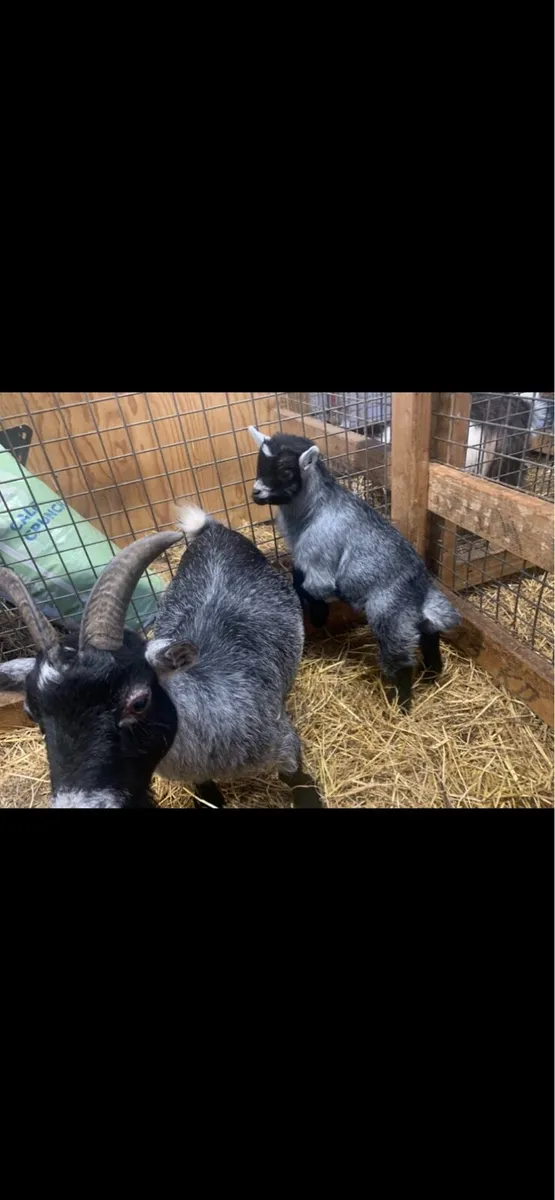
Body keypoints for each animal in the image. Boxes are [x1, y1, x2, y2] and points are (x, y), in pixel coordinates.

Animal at [0, 513, 322, 808]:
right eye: (31, 713)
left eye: (138, 702)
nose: (80, 804)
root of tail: (213, 532)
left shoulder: (282, 743)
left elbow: (298, 780)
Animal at [249, 427, 459, 712]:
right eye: (259, 463)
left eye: (285, 471)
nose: (256, 493)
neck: (312, 510)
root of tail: (421, 588)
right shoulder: (303, 556)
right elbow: (297, 574)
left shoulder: (320, 556)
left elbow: (310, 587)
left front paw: (318, 614)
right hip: (415, 612)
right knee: (429, 632)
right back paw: (432, 675)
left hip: (388, 612)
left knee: (401, 657)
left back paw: (402, 705)